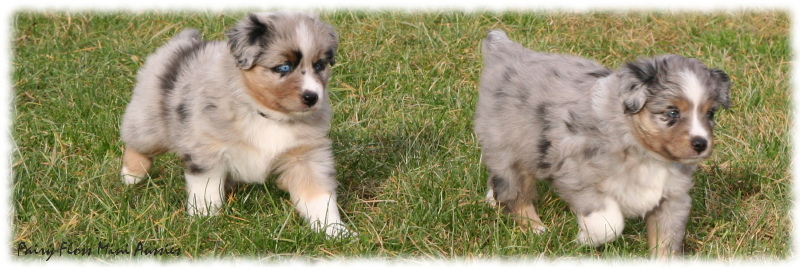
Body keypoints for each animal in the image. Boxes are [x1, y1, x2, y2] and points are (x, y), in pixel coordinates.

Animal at [119, 12, 354, 239]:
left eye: (319, 66)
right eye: (283, 67)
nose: (312, 97)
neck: (267, 115)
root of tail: (185, 42)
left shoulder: (306, 157)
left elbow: (319, 198)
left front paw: (334, 230)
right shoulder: (207, 149)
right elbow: (206, 190)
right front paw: (204, 219)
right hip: (149, 123)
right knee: (136, 143)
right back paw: (131, 176)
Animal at [476, 30, 732, 258]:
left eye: (710, 113)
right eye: (672, 113)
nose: (700, 144)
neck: (645, 152)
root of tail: (506, 52)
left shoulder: (672, 197)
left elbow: (666, 243)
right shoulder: (578, 178)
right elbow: (610, 222)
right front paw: (585, 239)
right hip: (510, 147)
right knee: (515, 191)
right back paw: (535, 228)